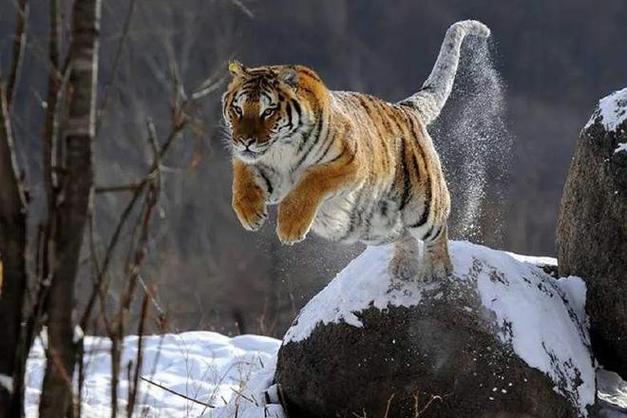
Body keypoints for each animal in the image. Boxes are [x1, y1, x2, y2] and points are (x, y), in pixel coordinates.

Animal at [223, 19, 494, 280]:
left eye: (268, 111)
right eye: (238, 109)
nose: (244, 140)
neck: (281, 152)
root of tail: (405, 109)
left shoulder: (349, 163)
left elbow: (310, 182)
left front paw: (289, 228)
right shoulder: (258, 165)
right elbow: (241, 180)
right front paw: (250, 214)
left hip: (423, 206)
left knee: (436, 230)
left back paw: (436, 269)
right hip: (376, 226)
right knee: (402, 232)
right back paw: (403, 266)